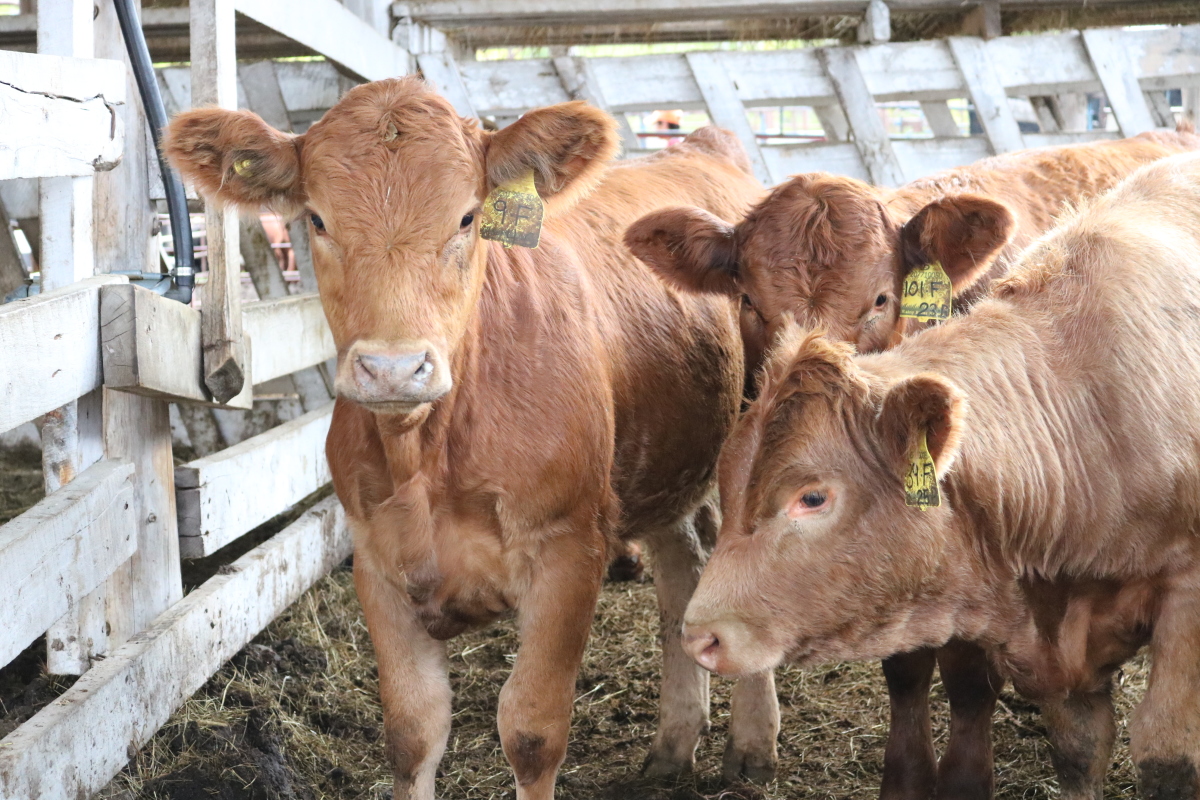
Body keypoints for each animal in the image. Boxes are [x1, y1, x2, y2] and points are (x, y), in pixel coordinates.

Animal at [164, 77, 773, 800]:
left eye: (466, 217)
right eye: (316, 219)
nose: (393, 367)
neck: (432, 455)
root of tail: (704, 148)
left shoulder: (570, 552)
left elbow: (533, 732)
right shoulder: (376, 562)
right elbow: (412, 731)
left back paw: (753, 745)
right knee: (683, 568)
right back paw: (675, 745)